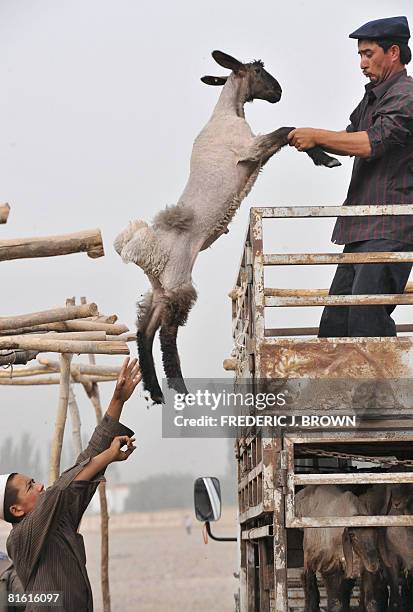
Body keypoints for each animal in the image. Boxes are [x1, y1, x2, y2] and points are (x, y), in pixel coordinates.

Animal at [112, 47, 338, 402]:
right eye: (258, 71)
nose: (278, 92)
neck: (227, 112)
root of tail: (143, 251)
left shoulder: (256, 155)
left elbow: (287, 134)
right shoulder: (248, 150)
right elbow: (287, 129)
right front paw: (326, 158)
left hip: (161, 288)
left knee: (144, 331)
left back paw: (155, 389)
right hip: (178, 282)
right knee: (166, 334)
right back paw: (180, 389)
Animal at [294, 482, 382, 612]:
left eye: (375, 534)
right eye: (354, 537)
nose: (374, 564)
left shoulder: (360, 569)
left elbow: (370, 602)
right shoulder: (329, 566)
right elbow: (335, 603)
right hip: (309, 557)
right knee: (308, 582)